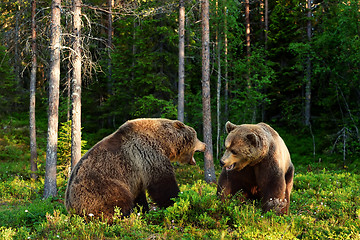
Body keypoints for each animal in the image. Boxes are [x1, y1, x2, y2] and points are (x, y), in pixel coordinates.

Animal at [65, 118, 205, 221]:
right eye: (196, 136)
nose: (205, 145)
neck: (164, 143)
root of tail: (70, 207)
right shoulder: (148, 154)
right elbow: (163, 184)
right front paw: (177, 201)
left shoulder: (137, 175)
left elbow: (140, 195)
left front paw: (144, 210)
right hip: (101, 187)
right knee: (118, 201)